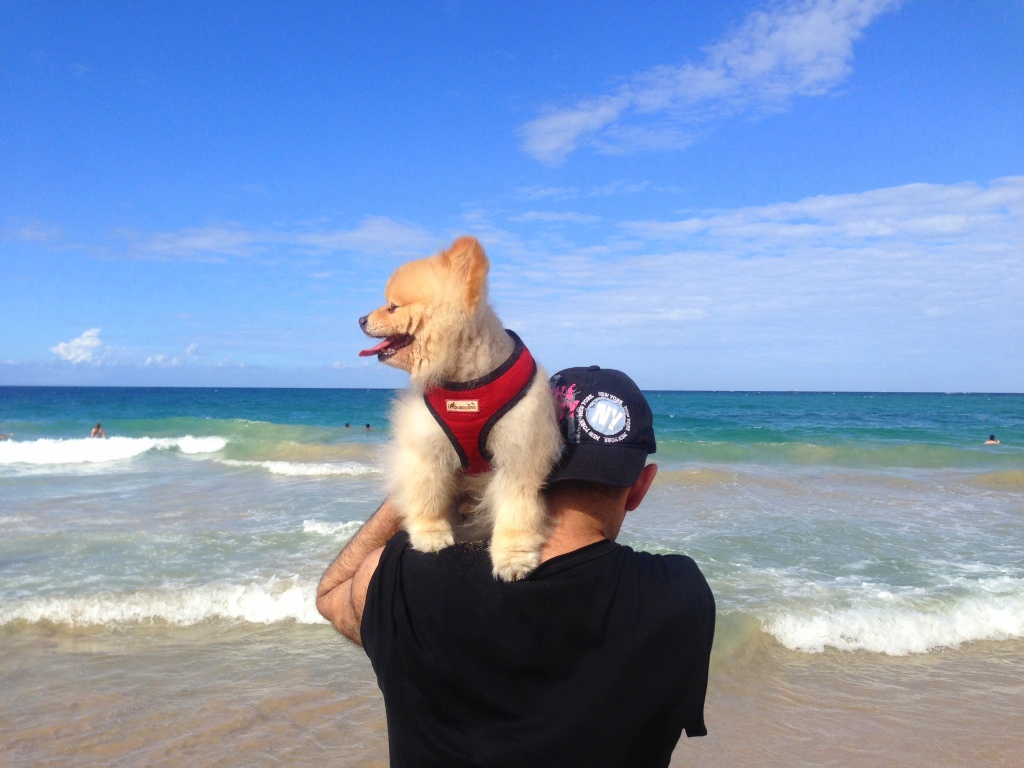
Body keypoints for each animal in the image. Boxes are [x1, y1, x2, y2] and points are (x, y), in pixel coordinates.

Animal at [360, 237, 565, 581]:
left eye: (392, 307)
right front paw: (431, 536)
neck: (467, 378)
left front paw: (513, 557)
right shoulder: (427, 449)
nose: (360, 319)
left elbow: (517, 510)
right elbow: (428, 496)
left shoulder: (519, 453)